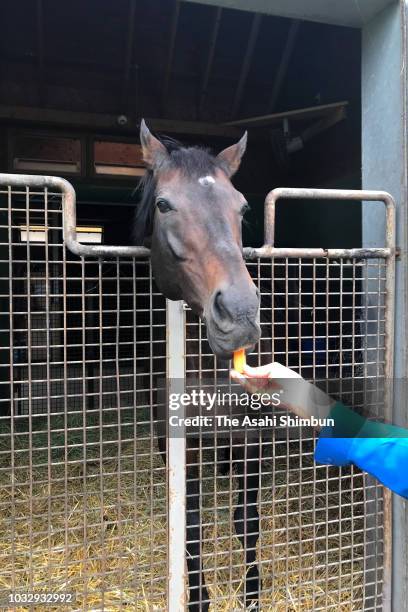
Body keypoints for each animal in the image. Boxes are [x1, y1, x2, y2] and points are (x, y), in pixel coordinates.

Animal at [134, 118, 262, 608]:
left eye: (242, 208)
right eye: (164, 204)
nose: (240, 313)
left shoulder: (249, 435)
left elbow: (247, 521)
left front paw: (252, 594)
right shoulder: (181, 444)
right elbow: (189, 526)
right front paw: (199, 598)